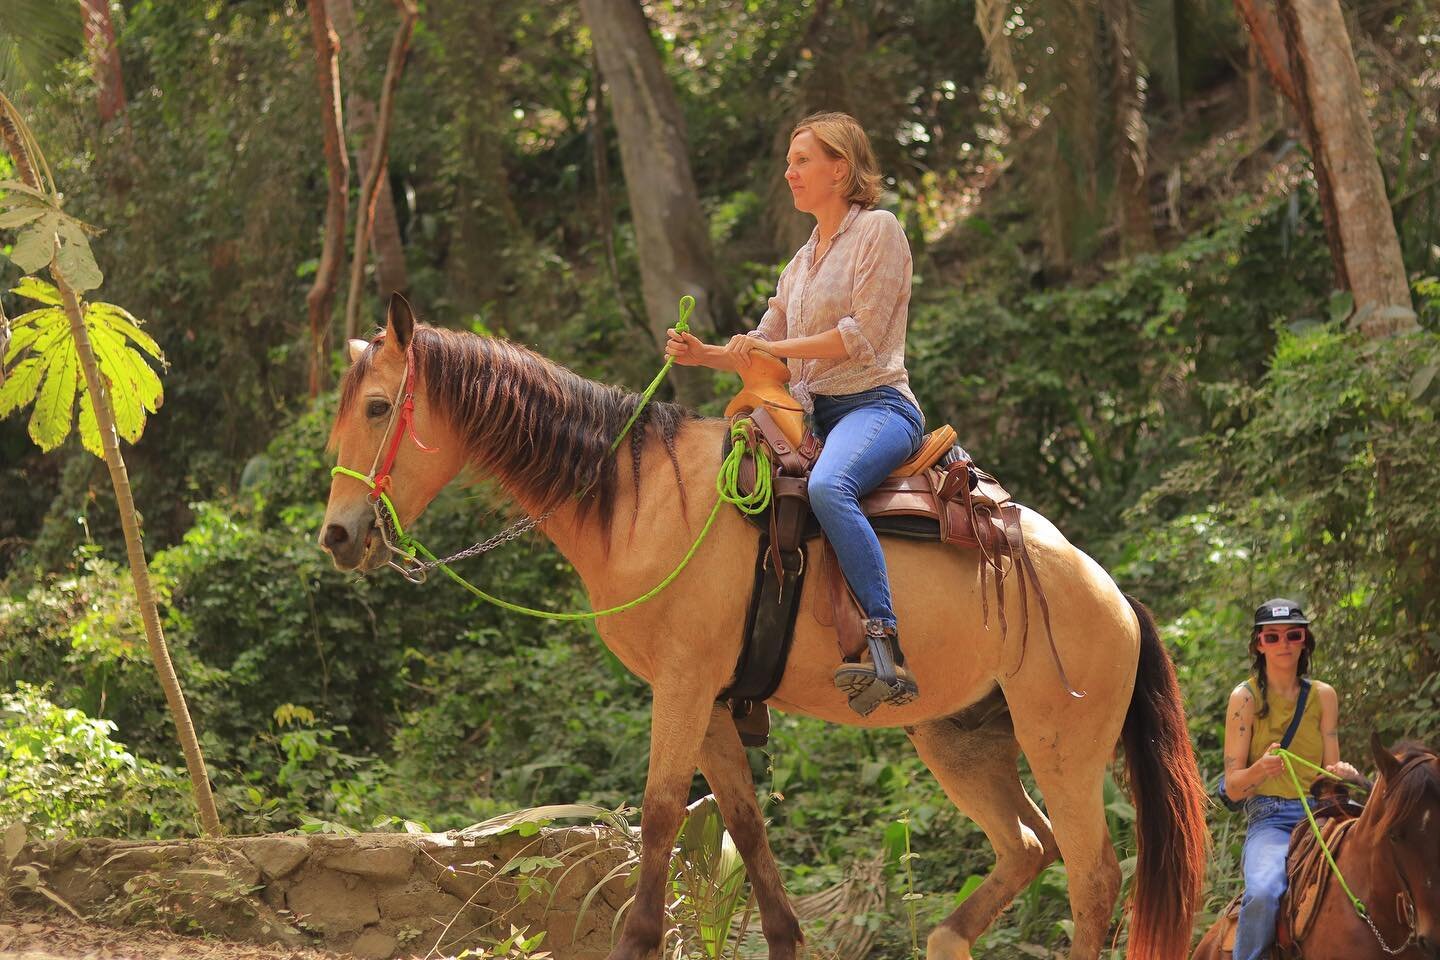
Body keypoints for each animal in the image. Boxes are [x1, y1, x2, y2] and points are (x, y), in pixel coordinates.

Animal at [321, 295, 1209, 960]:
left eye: (378, 407)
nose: (337, 535)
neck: (641, 498)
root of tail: (1113, 595)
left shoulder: (682, 689)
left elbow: (658, 816)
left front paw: (639, 939)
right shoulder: (715, 700)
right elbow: (745, 827)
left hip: (1063, 747)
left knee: (1093, 875)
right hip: (960, 738)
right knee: (1028, 846)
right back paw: (950, 938)